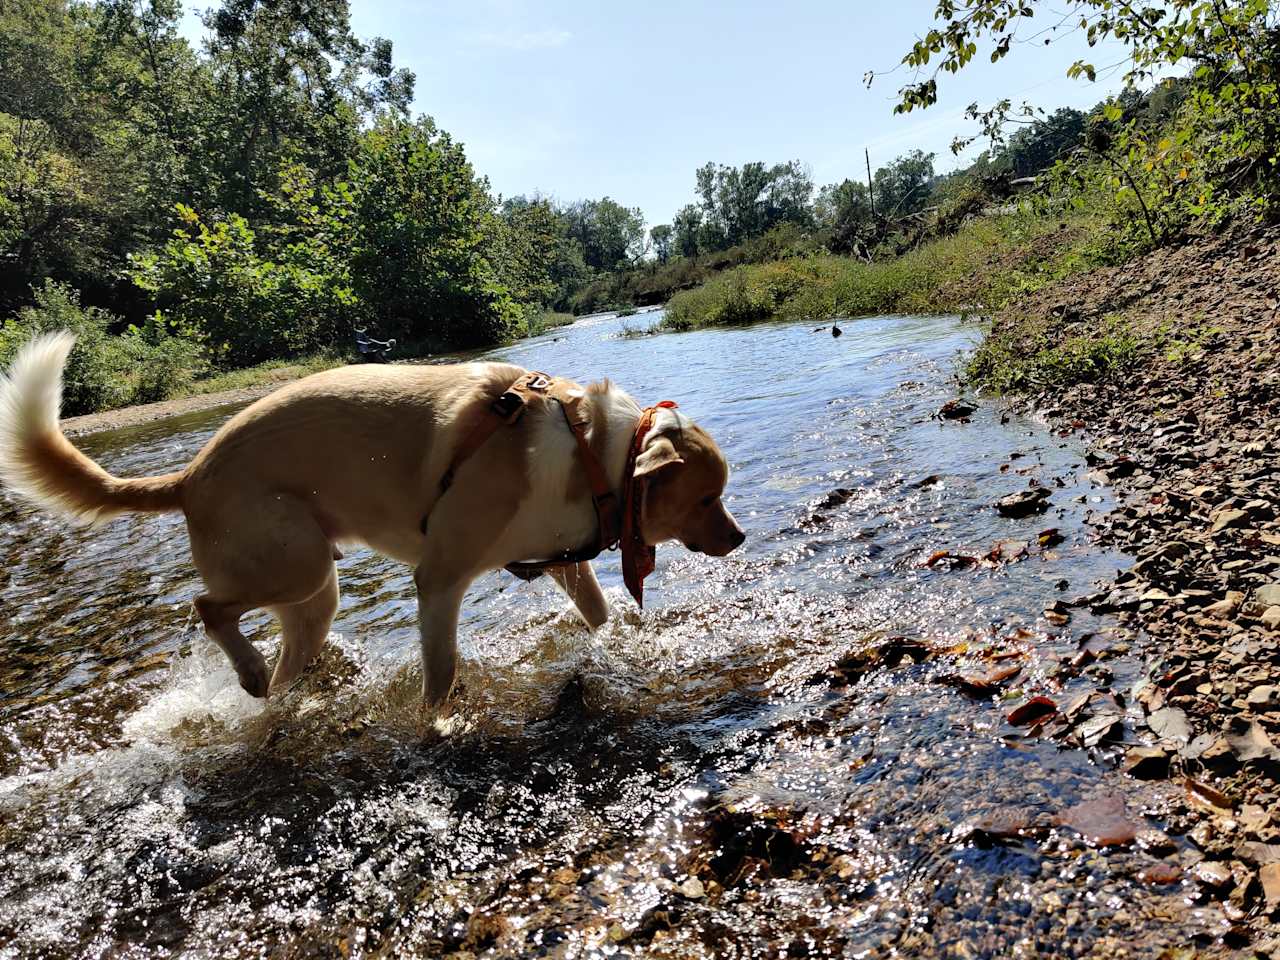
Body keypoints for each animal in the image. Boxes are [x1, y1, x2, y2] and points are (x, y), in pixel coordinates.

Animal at [0, 335, 747, 701]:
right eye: (707, 497)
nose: (740, 537)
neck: (597, 454)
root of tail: (189, 475)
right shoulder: (439, 578)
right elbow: (441, 670)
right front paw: (436, 725)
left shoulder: (561, 561)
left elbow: (599, 613)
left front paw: (626, 645)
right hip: (294, 562)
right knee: (208, 608)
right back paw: (248, 671)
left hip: (312, 597)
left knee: (280, 660)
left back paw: (279, 695)